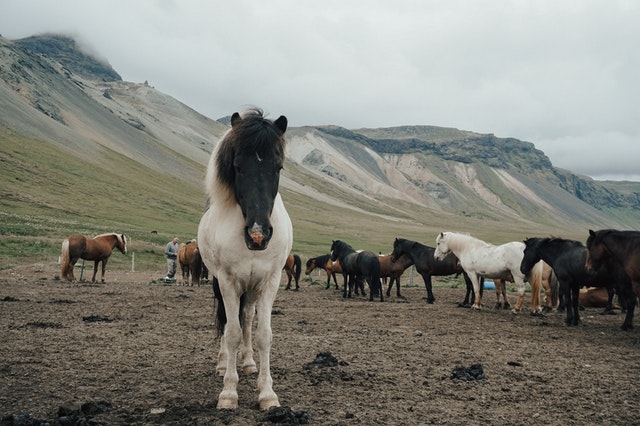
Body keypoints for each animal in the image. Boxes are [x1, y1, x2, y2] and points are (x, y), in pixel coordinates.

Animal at [197, 109, 292, 410]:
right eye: (237, 166)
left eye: (278, 167)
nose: (258, 234)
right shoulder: (227, 281)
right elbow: (232, 332)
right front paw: (228, 392)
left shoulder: (271, 280)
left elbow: (264, 334)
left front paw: (267, 393)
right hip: (221, 283)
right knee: (228, 322)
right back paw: (222, 364)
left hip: (252, 287)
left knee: (247, 316)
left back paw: (249, 362)